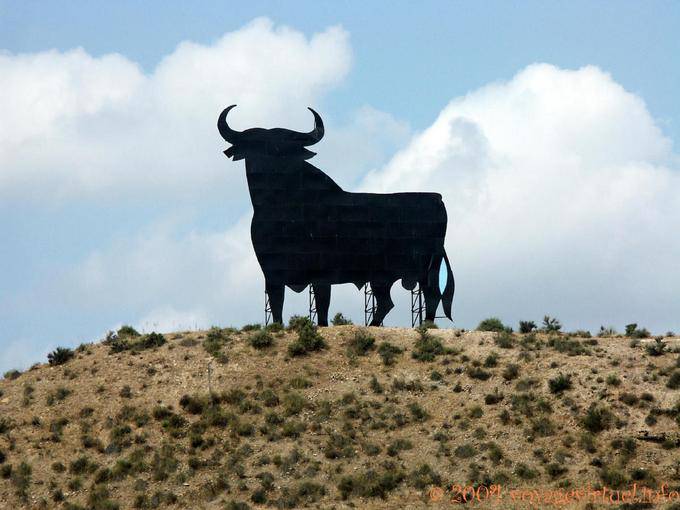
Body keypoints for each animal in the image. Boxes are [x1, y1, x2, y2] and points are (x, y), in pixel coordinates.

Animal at [217, 105, 454, 326]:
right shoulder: (271, 272)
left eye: (284, 149)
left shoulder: (321, 272)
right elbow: (278, 303)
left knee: (429, 294)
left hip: (421, 267)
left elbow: (322, 304)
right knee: (390, 301)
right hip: (387, 275)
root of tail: (437, 198)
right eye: (255, 146)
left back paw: (422, 325)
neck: (281, 207)